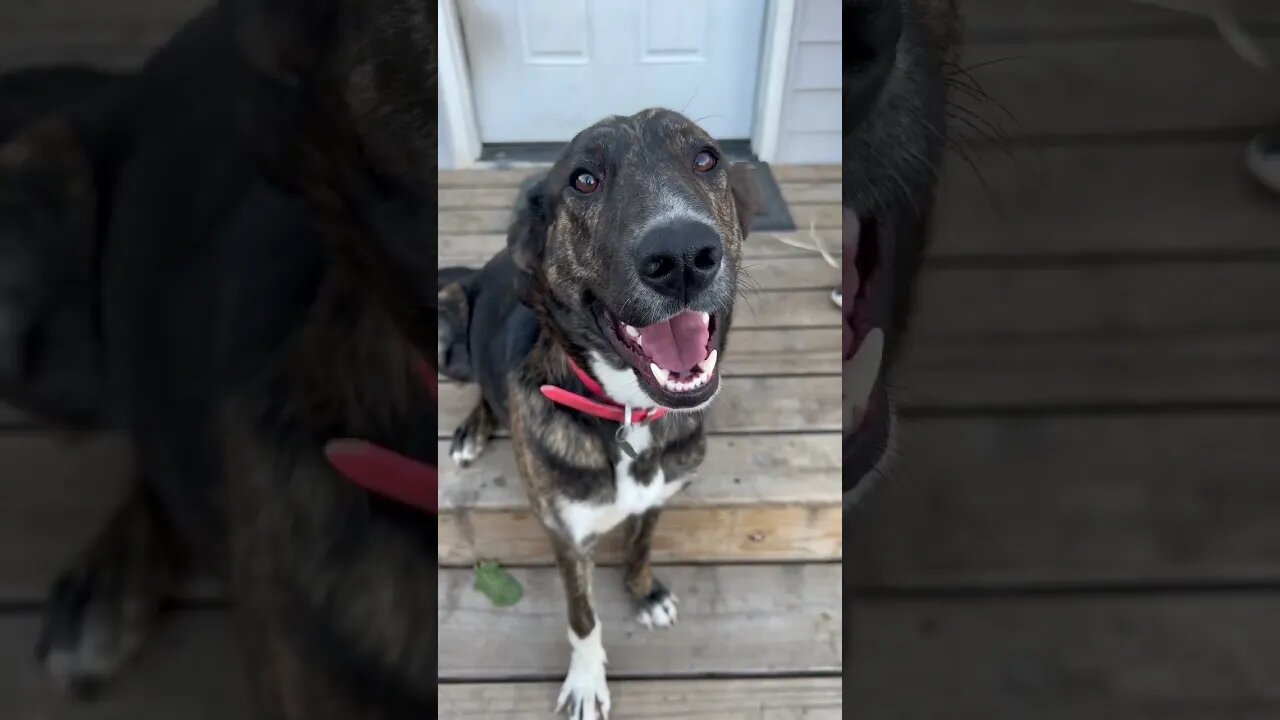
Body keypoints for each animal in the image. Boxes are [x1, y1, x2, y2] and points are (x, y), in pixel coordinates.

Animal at [440, 107, 757, 717]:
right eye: (583, 179)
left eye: (706, 158)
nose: (683, 257)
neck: (628, 411)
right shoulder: (566, 537)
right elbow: (582, 618)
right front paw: (587, 681)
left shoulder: (659, 494)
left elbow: (640, 544)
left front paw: (645, 591)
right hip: (450, 320)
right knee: (482, 389)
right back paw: (470, 431)